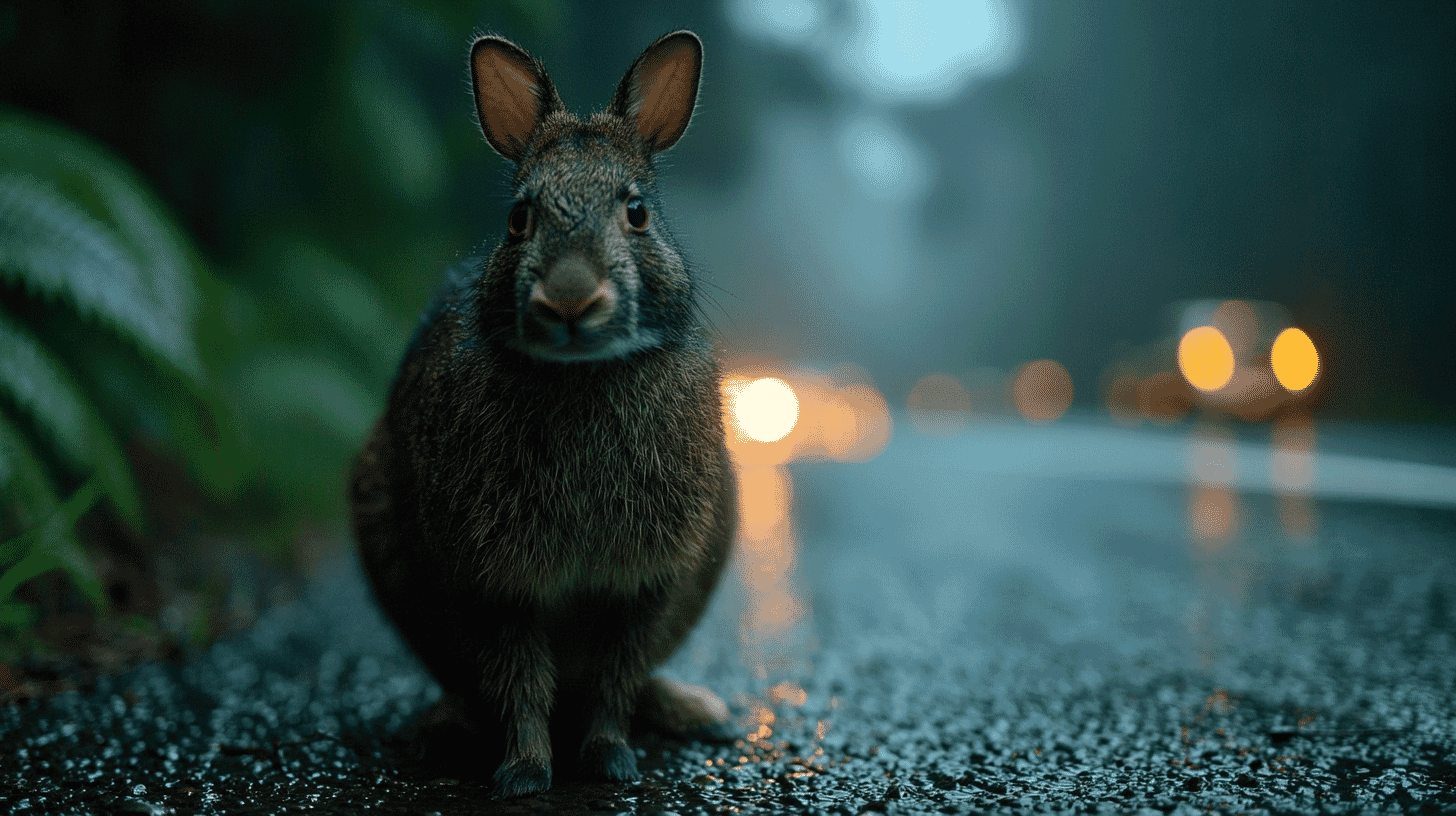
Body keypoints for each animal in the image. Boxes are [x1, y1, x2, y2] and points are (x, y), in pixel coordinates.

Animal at [349, 30, 737, 798]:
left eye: (636, 212)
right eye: (518, 218)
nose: (569, 299)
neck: (580, 376)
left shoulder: (643, 582)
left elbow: (615, 679)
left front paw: (610, 761)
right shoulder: (496, 583)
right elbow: (521, 682)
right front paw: (526, 774)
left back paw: (696, 712)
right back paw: (442, 728)